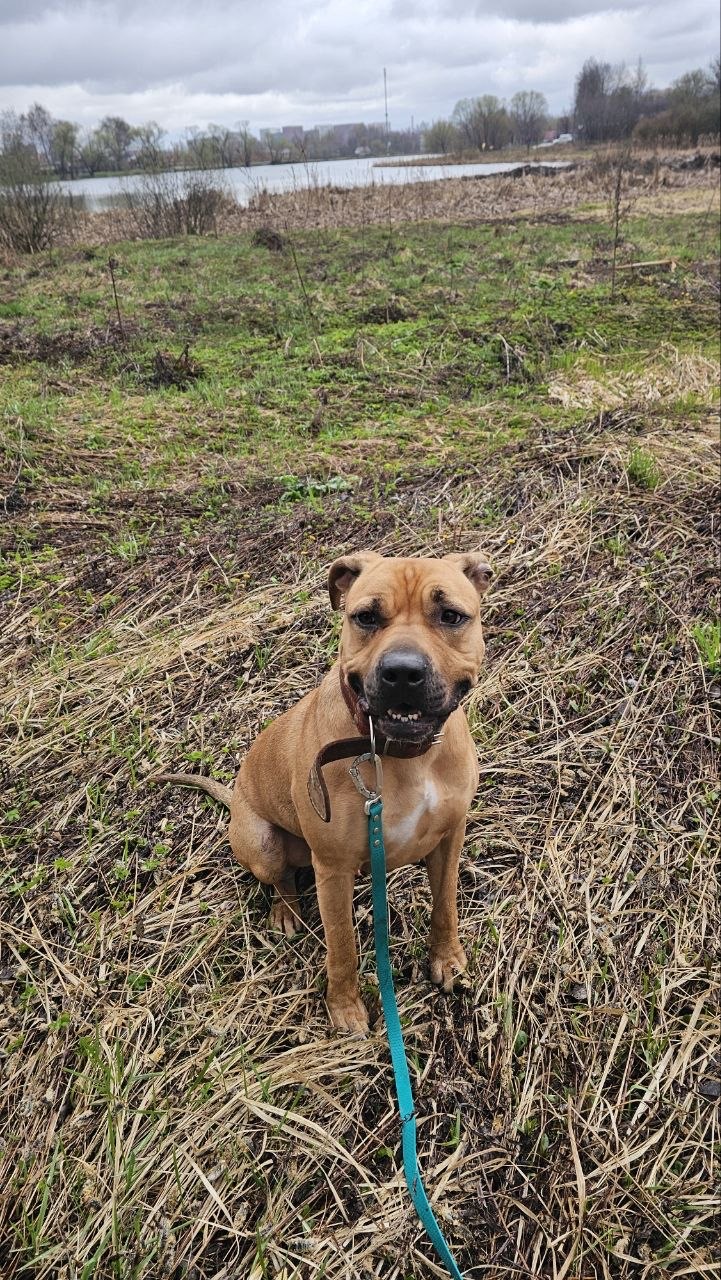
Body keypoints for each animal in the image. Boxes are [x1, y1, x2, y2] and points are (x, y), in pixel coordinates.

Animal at [156, 551, 492, 1032]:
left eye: (450, 616)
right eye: (366, 617)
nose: (402, 672)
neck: (401, 755)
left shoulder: (450, 837)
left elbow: (445, 906)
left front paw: (446, 961)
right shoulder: (331, 870)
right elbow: (343, 946)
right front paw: (345, 1007)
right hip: (263, 844)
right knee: (281, 881)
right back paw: (286, 911)